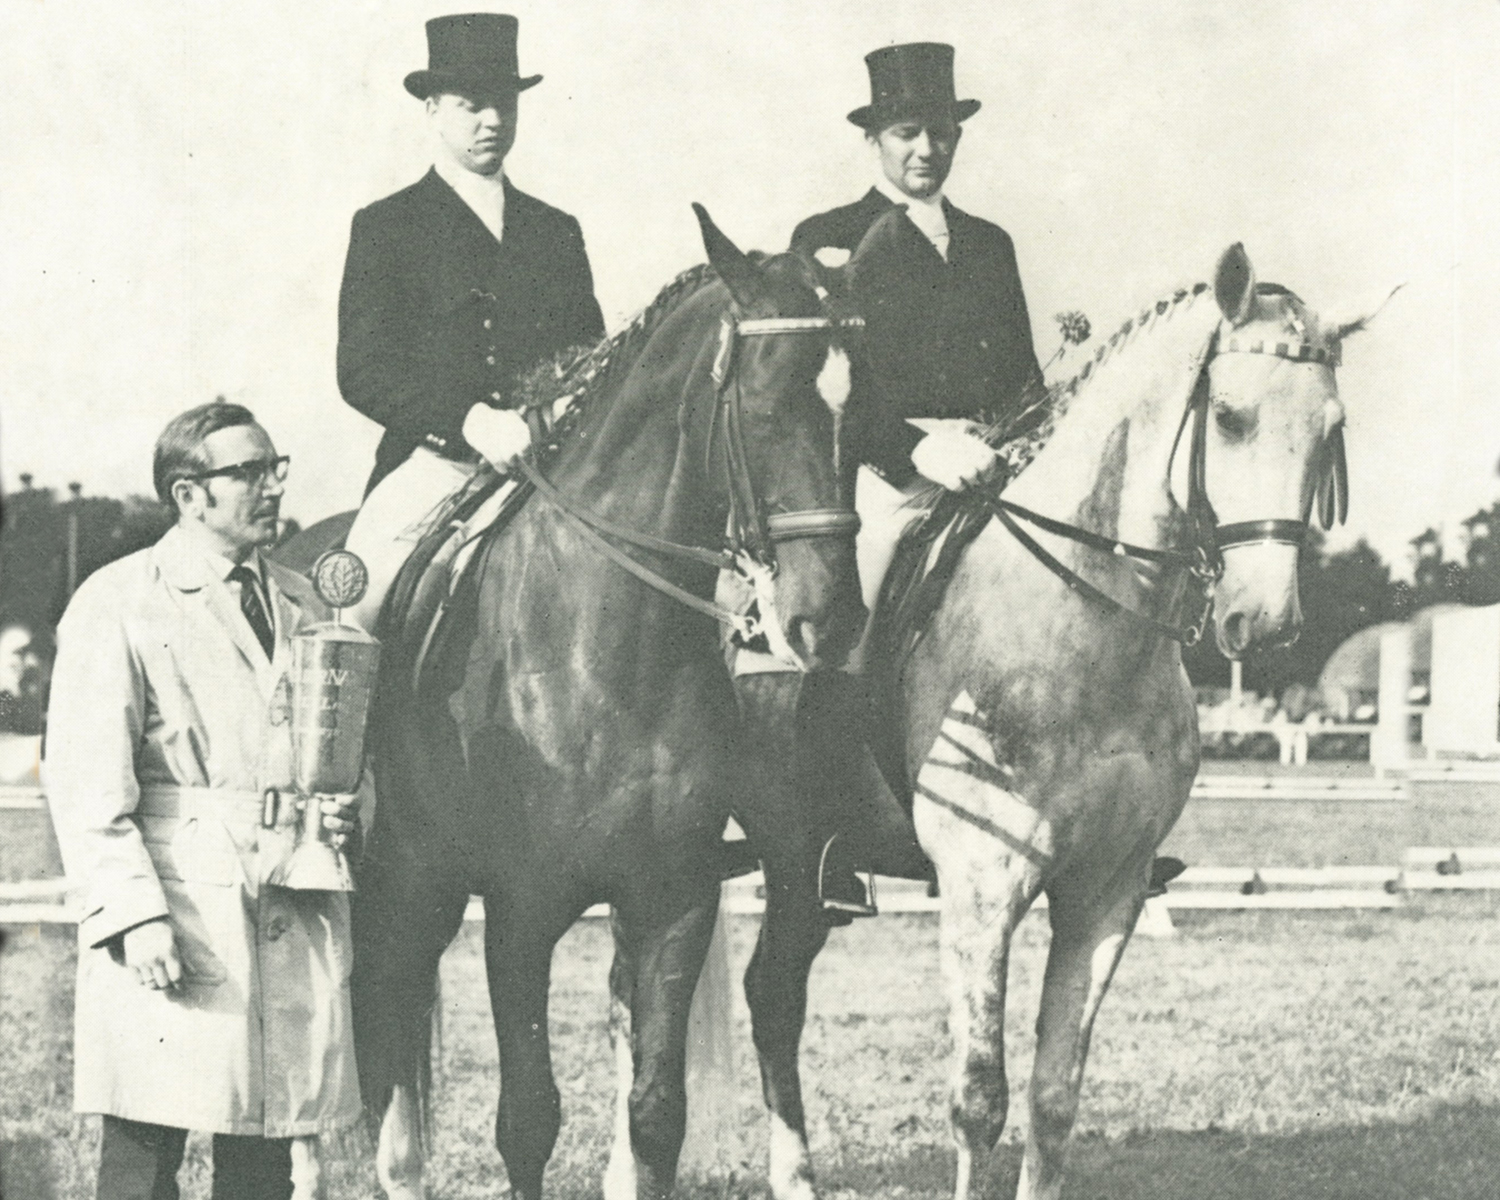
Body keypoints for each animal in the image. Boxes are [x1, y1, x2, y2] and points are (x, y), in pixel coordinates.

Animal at [354, 208, 870, 1200]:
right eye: (763, 405)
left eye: (857, 413)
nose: (827, 623)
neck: (597, 647)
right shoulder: (517, 909)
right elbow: (527, 1119)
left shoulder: (671, 900)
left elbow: (657, 1113)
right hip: (401, 883)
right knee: (372, 1029)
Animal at [714, 237, 1380, 1200]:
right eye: (1229, 417)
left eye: (1331, 429)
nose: (1265, 623)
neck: (1084, 621)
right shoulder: (981, 889)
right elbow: (978, 1099)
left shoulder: (1109, 890)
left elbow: (1055, 1095)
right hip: (787, 856)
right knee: (765, 995)